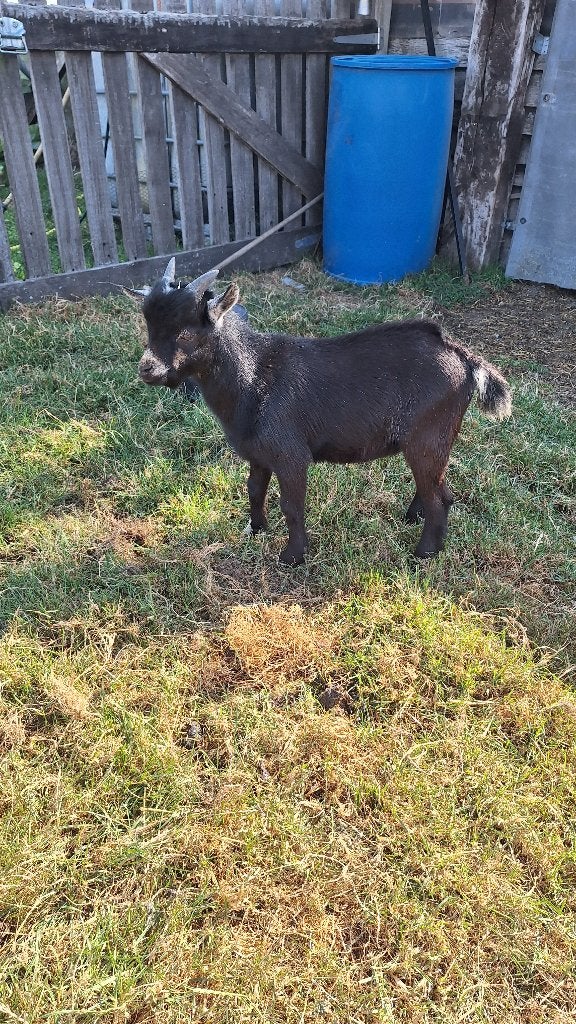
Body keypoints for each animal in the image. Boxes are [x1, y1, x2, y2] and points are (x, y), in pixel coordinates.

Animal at [138, 259, 512, 565]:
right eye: (148, 327)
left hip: (428, 435)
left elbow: (292, 506)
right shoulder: (258, 453)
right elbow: (254, 490)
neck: (254, 376)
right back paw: (411, 518)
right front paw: (255, 530)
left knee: (442, 497)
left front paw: (292, 556)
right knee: (431, 485)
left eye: (186, 333)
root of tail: (463, 357)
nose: (147, 369)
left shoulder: (290, 455)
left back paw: (423, 553)